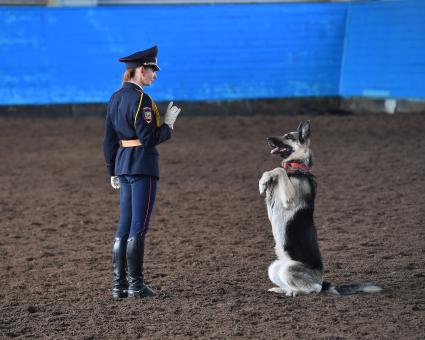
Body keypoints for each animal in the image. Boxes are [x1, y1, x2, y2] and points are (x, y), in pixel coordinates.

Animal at [258, 121, 380, 294]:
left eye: (288, 136)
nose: (268, 139)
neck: (297, 167)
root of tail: (322, 282)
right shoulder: (271, 203)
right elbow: (273, 172)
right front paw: (263, 182)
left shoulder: (289, 200)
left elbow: (279, 169)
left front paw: (267, 179)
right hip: (274, 267)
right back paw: (282, 290)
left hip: (289, 269)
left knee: (313, 289)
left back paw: (295, 291)